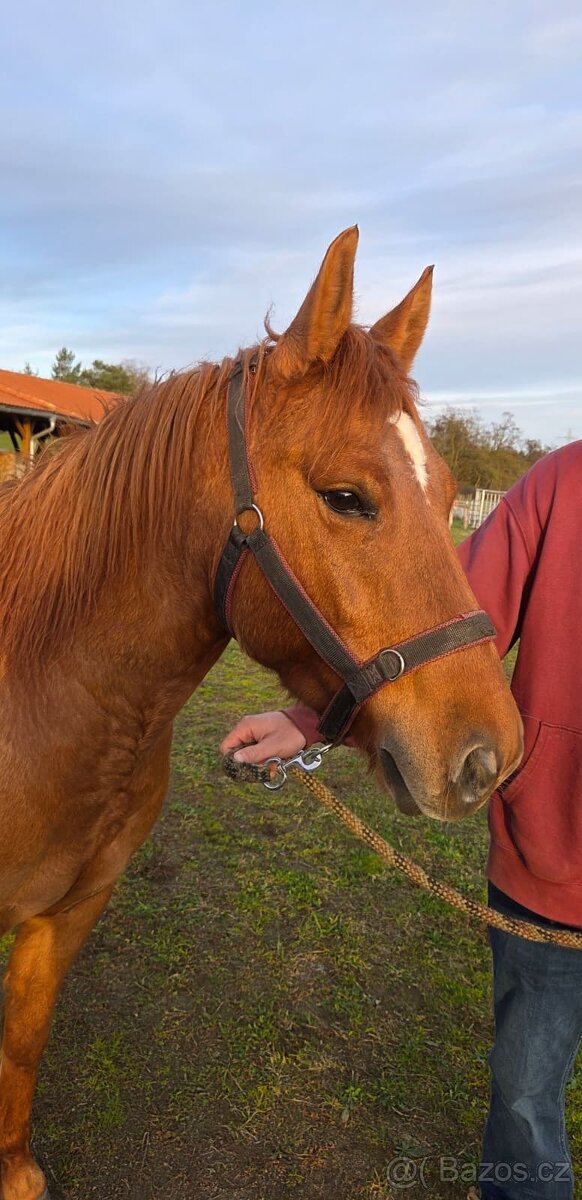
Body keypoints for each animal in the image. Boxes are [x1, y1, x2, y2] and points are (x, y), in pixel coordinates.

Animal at [0, 227, 522, 1200]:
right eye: (347, 496)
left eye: (448, 497)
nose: (489, 757)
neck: (48, 701)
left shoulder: (70, 913)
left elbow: (21, 1043)